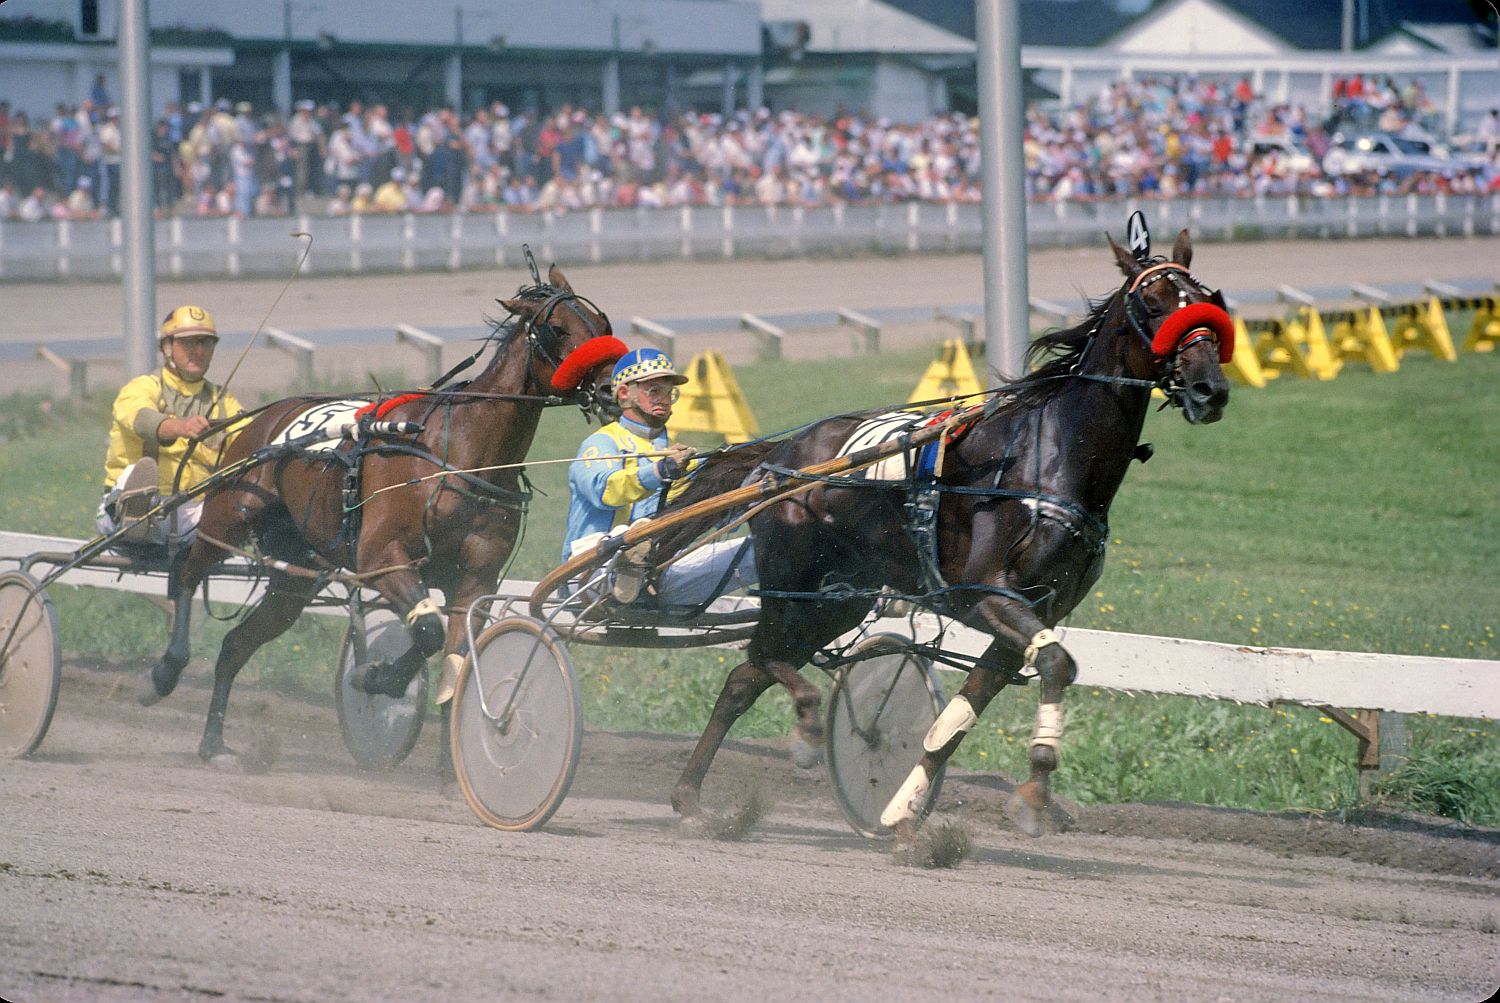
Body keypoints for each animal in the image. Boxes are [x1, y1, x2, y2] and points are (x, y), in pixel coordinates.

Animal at [141, 263, 627, 767]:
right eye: (558, 329)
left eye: (602, 325)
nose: (613, 387)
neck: (456, 456)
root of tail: (265, 417)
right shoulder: (381, 558)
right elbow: (428, 631)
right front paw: (375, 678)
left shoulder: (475, 579)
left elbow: (456, 657)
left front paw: (453, 766)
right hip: (229, 514)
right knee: (188, 569)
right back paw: (167, 670)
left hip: (294, 574)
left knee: (236, 644)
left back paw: (213, 742)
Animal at [657, 229, 1230, 839]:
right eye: (1154, 304)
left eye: (1207, 302)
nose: (1209, 389)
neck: (1045, 460)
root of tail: (782, 454)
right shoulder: (984, 595)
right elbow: (1056, 664)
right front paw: (1033, 789)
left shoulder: (1040, 612)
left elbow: (964, 712)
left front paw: (903, 808)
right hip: (793, 582)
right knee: (762, 651)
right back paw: (805, 729)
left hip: (839, 598)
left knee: (745, 676)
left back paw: (690, 796)